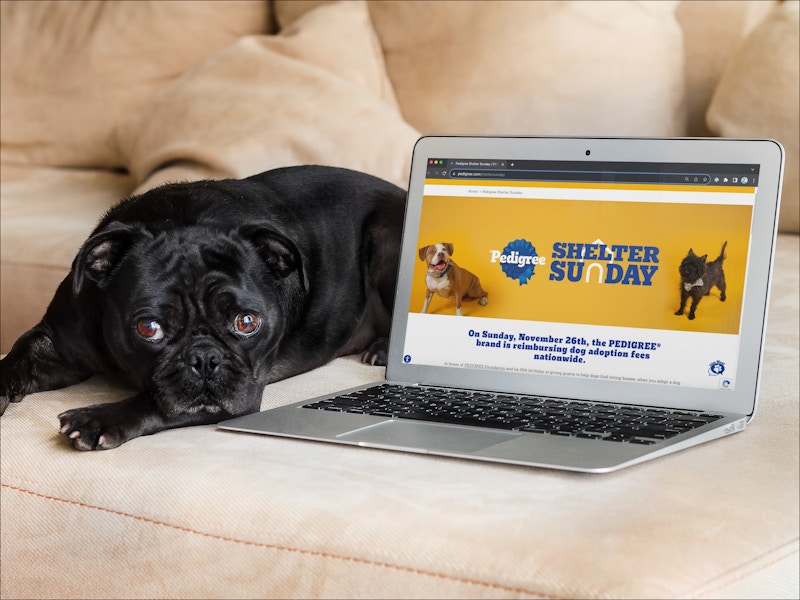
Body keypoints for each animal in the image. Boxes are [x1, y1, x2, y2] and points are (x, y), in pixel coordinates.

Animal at [0, 166, 406, 448]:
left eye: (247, 322)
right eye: (149, 328)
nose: (205, 358)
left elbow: (151, 402)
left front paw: (99, 419)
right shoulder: (54, 344)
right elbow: (16, 356)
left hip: (387, 237)